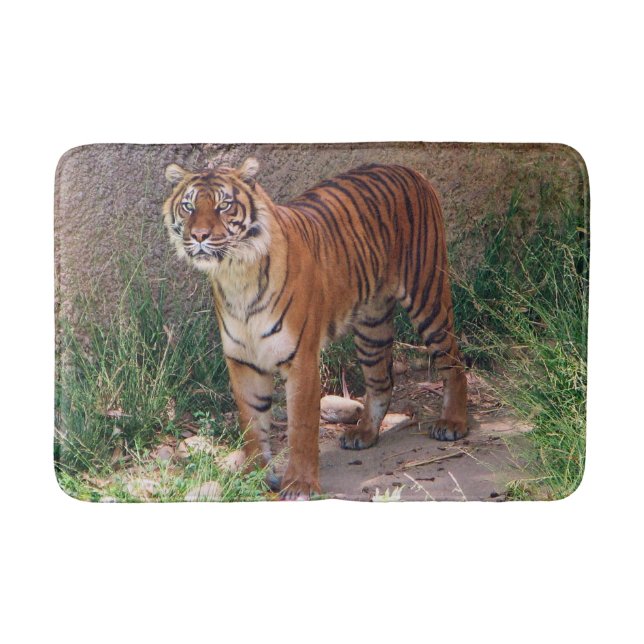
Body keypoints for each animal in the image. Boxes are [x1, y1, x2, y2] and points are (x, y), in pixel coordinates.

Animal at [163, 157, 468, 500]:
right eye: (188, 206)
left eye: (224, 205)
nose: (199, 235)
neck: (236, 275)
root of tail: (408, 169)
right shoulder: (243, 360)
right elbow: (252, 423)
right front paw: (254, 476)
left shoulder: (301, 359)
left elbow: (302, 426)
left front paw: (300, 484)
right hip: (371, 325)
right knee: (381, 380)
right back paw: (364, 432)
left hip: (427, 294)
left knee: (453, 361)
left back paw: (452, 423)